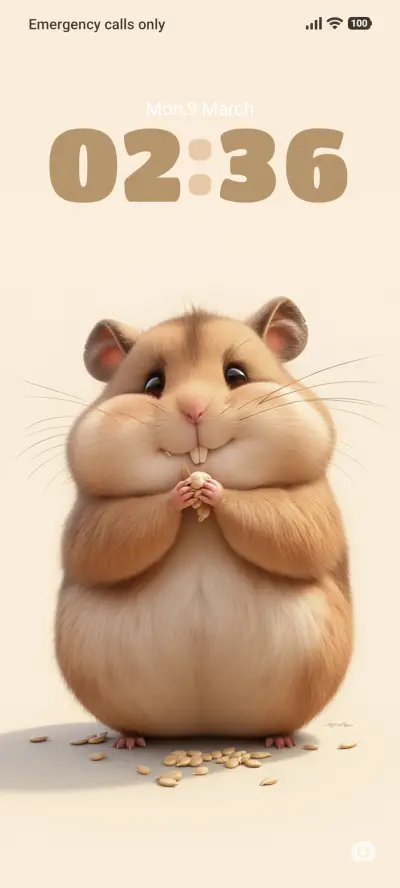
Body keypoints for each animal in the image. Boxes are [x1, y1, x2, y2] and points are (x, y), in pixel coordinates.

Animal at [55, 297, 353, 748]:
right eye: (152, 383)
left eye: (236, 375)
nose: (193, 409)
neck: (200, 524)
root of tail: (203, 729)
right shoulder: (93, 517)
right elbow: (109, 542)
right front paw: (182, 492)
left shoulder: (311, 506)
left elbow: (291, 530)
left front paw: (210, 488)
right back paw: (130, 739)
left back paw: (278, 739)